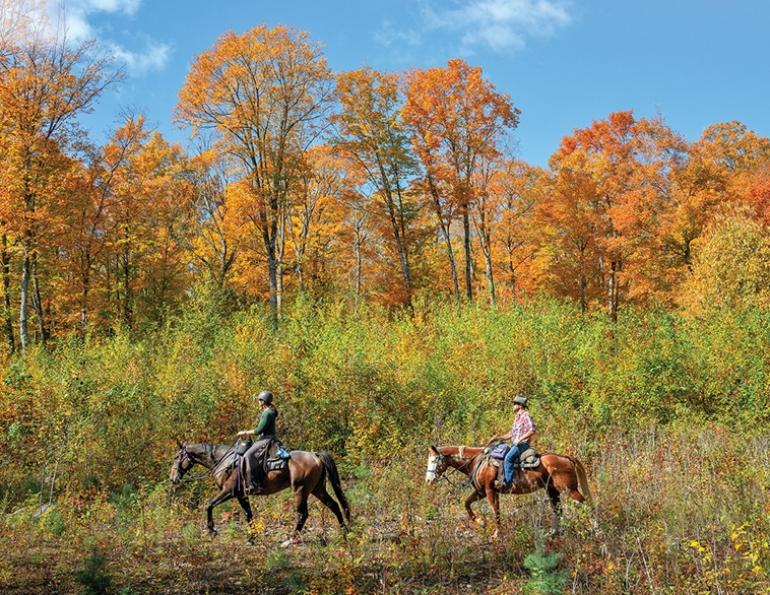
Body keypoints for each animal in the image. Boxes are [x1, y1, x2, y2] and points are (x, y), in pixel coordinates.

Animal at [169, 441, 351, 540]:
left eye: (177, 457)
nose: (173, 478)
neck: (225, 462)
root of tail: (314, 454)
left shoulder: (229, 492)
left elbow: (209, 505)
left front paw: (212, 530)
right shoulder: (242, 495)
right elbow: (249, 515)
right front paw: (252, 537)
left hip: (302, 490)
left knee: (303, 514)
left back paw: (291, 538)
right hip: (317, 489)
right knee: (334, 505)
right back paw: (344, 531)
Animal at [425, 444, 591, 536]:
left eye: (434, 460)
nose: (428, 480)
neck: (478, 462)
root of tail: (565, 458)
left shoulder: (490, 491)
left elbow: (496, 512)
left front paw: (497, 533)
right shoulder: (481, 492)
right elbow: (467, 504)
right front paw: (481, 522)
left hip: (569, 489)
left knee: (586, 504)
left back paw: (595, 530)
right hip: (552, 491)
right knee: (558, 510)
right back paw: (553, 533)